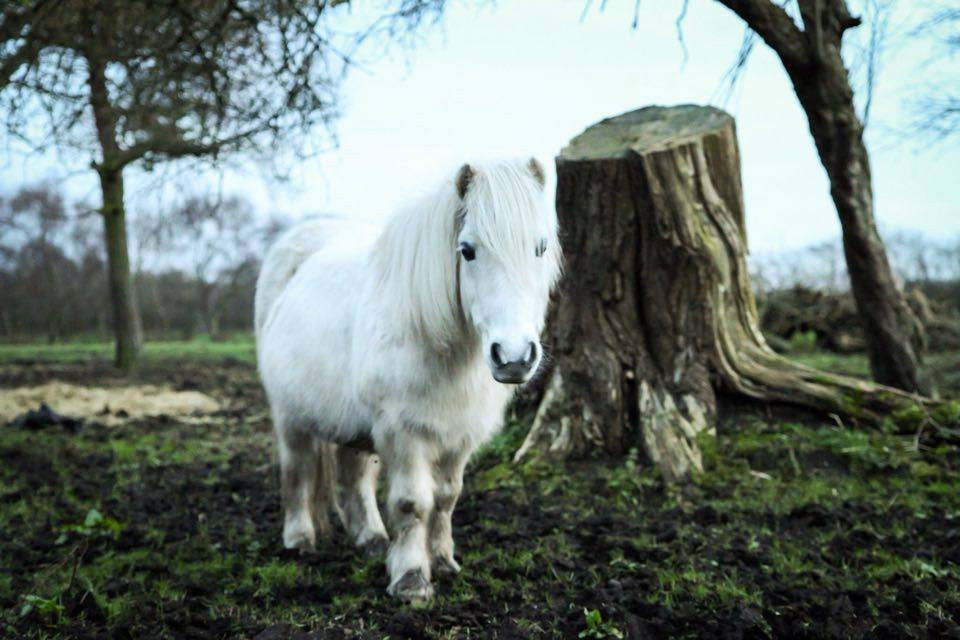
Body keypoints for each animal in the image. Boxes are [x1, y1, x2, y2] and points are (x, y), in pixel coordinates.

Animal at [255, 159, 564, 600]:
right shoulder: (403, 433)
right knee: (298, 470)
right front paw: (411, 579)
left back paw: (370, 539)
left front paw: (444, 561)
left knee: (354, 476)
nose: (514, 356)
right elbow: (412, 504)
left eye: (540, 248)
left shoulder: (459, 437)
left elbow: (447, 498)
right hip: (289, 417)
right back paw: (299, 540)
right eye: (467, 250)